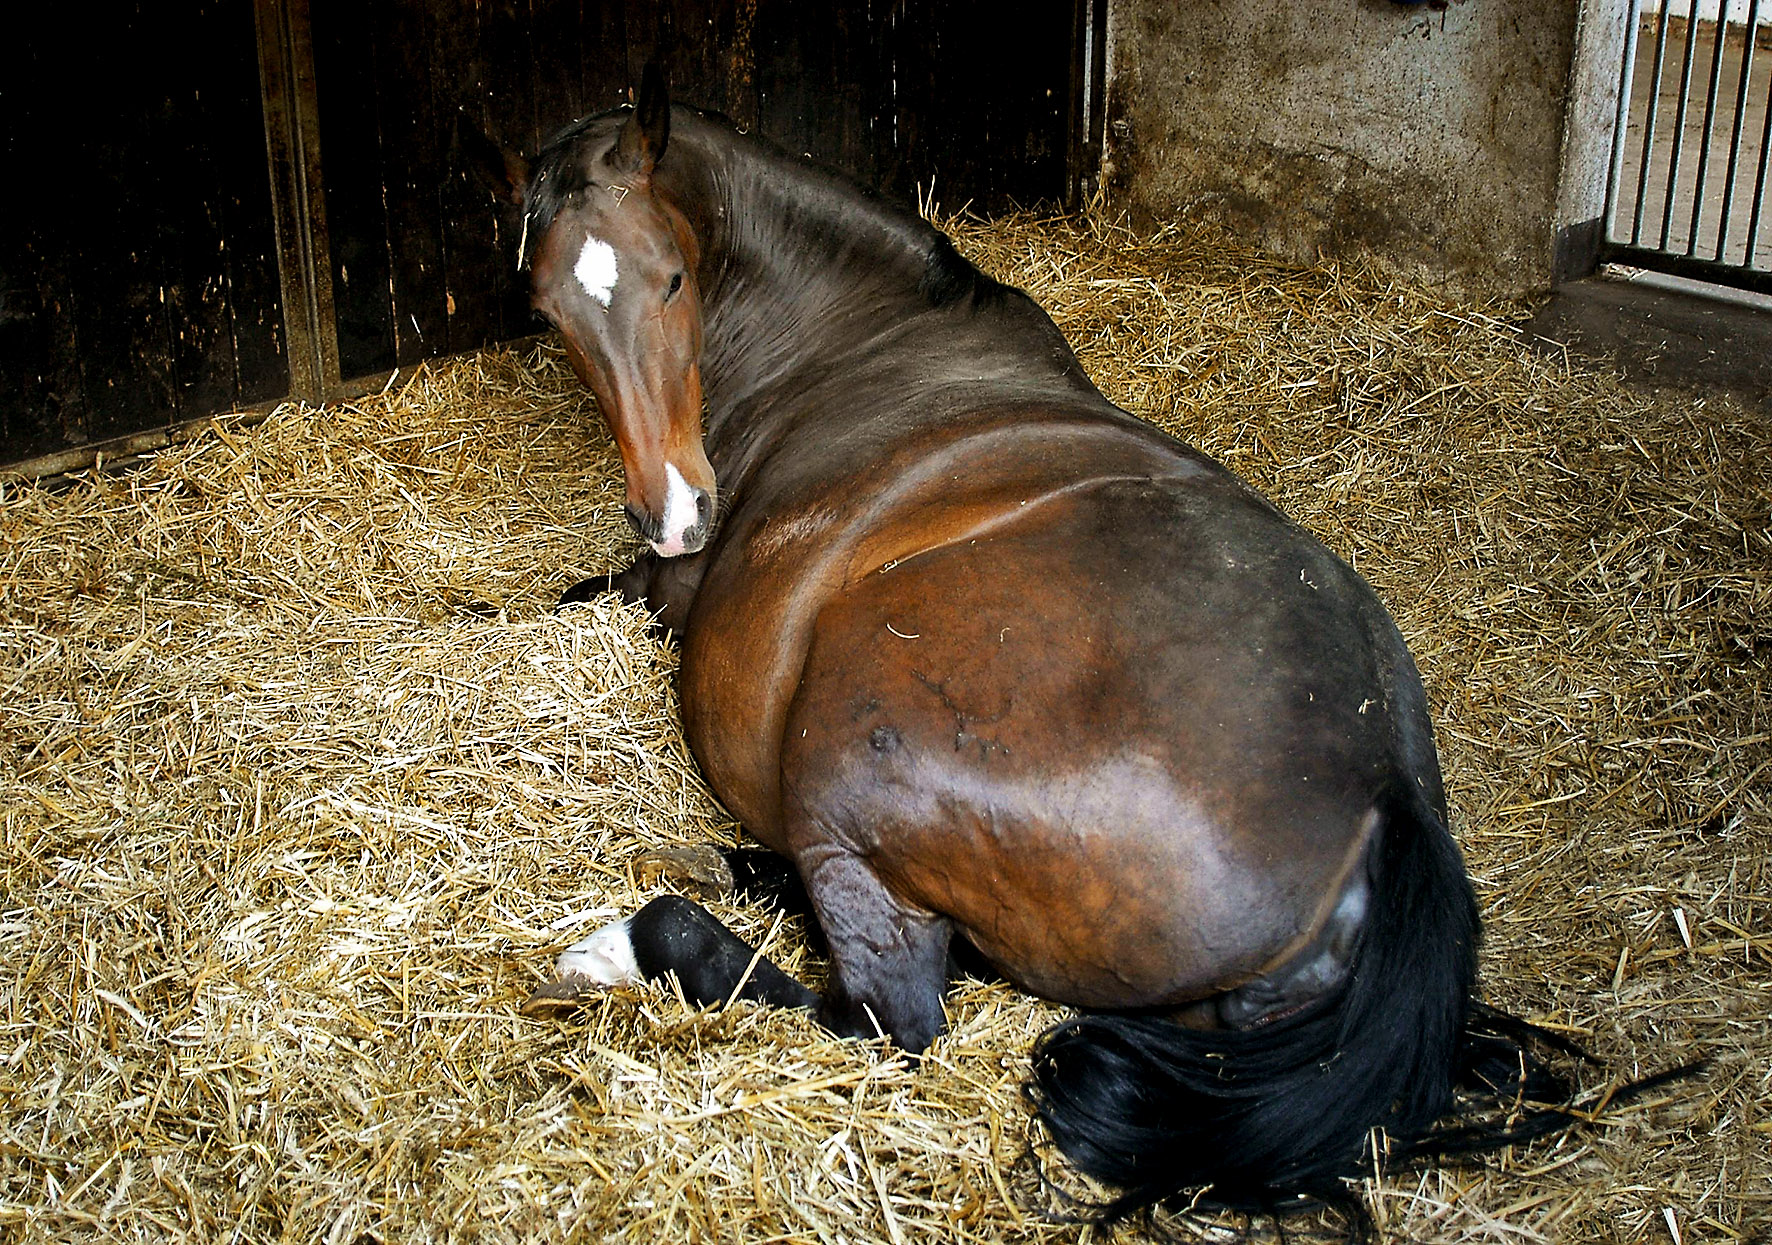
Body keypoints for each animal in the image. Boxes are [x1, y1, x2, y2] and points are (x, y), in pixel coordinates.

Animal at [478, 63, 1587, 1225]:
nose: (673, 511)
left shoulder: (659, 590)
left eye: (674, 278)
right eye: (549, 311)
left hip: (845, 758)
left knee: (882, 1016)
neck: (850, 334)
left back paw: (625, 941)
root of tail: (1387, 798)